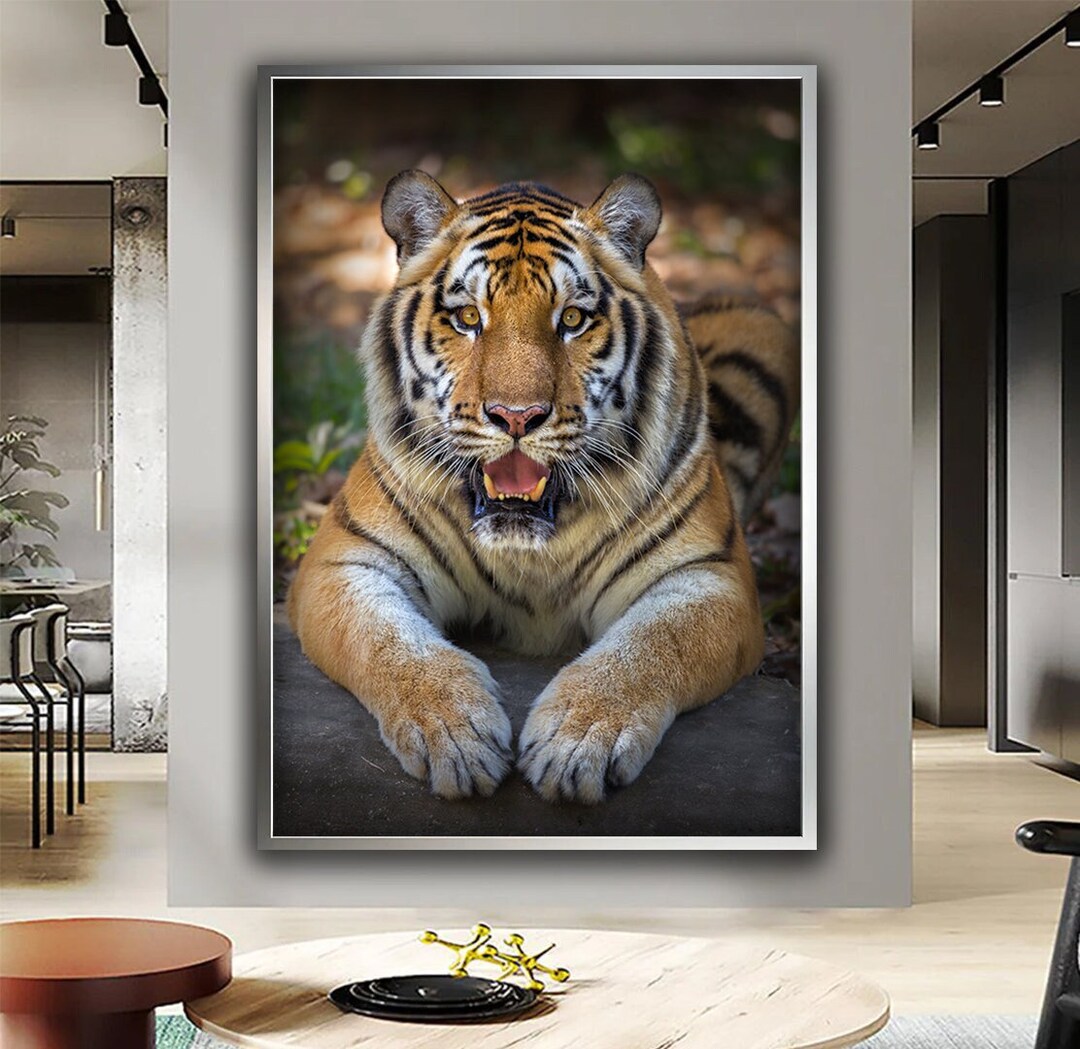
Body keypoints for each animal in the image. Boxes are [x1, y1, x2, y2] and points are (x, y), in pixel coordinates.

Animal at [287, 171, 799, 804]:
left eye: (572, 320)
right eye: (467, 317)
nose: (516, 416)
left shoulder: (710, 576)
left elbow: (650, 648)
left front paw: (576, 742)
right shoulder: (346, 562)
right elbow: (389, 643)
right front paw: (456, 734)